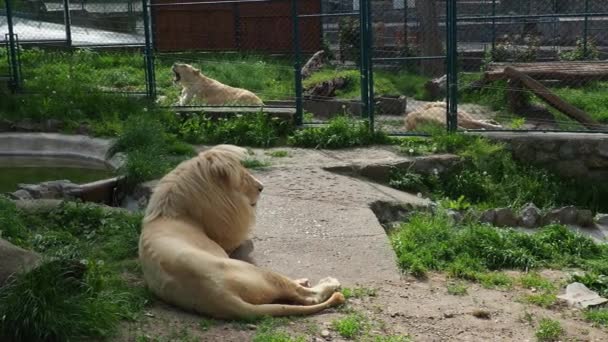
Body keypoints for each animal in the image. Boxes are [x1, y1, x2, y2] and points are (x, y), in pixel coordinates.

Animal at [140, 144, 344, 318]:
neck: (171, 211)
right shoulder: (226, 240)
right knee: (306, 296)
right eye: (244, 176)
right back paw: (329, 283)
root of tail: (219, 296)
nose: (262, 187)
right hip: (257, 272)